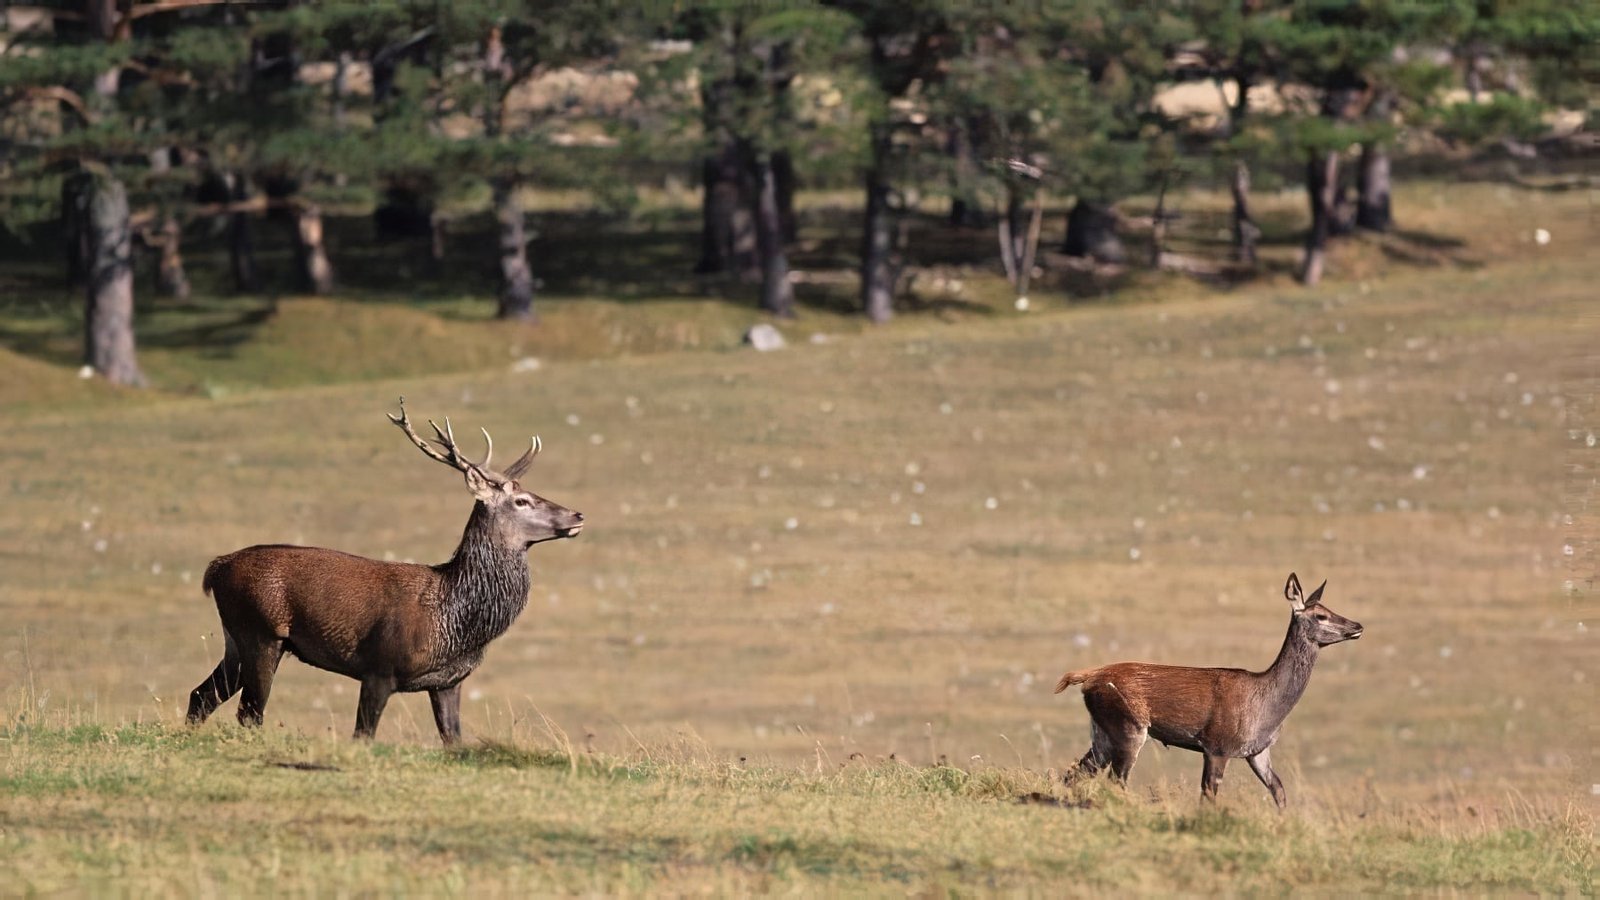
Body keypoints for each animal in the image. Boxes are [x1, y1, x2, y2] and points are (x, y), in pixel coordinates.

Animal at [186, 395, 585, 739]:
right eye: (522, 501)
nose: (577, 515)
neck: (454, 616)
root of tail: (215, 569)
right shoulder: (379, 666)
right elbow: (363, 735)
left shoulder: (448, 682)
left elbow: (455, 742)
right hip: (261, 631)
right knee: (249, 713)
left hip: (236, 639)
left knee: (201, 695)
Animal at [1056, 573, 1356, 807]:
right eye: (1321, 615)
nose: (1357, 626)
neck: (1266, 707)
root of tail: (1087, 677)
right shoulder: (1217, 745)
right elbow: (1208, 797)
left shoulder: (1258, 751)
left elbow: (1279, 791)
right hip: (1127, 726)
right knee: (1116, 780)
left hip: (1101, 731)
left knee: (1075, 772)